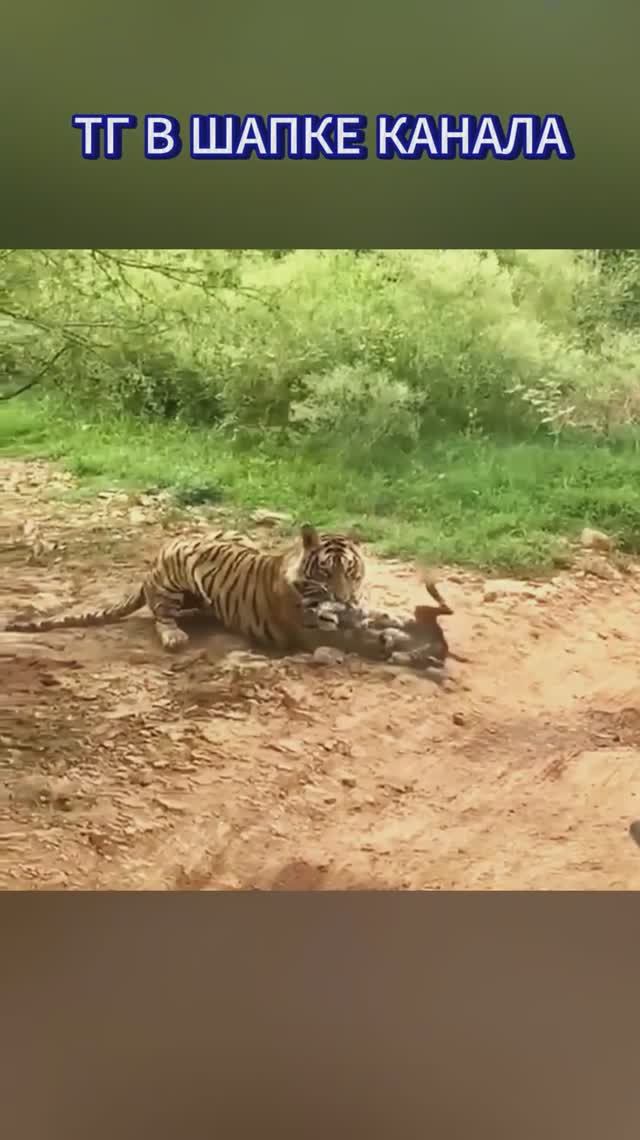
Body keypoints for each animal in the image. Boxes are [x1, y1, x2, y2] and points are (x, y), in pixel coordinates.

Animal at [4, 528, 334, 652]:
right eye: (326, 572)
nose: (340, 597)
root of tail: (149, 571)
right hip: (173, 582)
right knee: (161, 617)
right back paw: (174, 636)